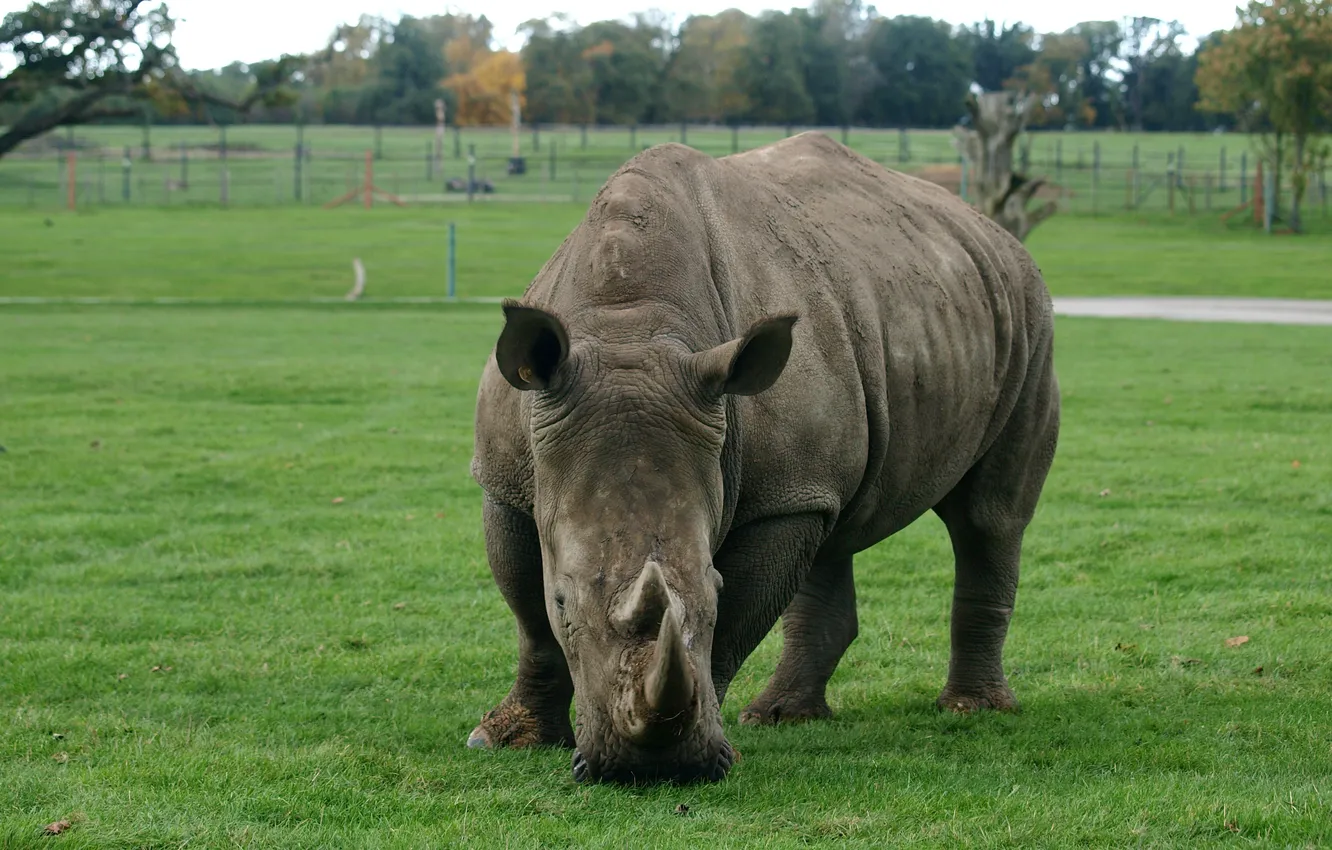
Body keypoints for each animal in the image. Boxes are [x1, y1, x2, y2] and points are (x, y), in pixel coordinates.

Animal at [466, 132, 1060, 784]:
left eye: (714, 587)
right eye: (565, 601)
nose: (650, 772)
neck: (629, 327)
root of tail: (995, 231)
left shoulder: (777, 497)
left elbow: (733, 626)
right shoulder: (506, 478)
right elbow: (530, 619)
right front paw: (505, 740)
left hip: (1029, 320)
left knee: (988, 517)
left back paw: (970, 709)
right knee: (835, 523)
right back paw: (784, 717)